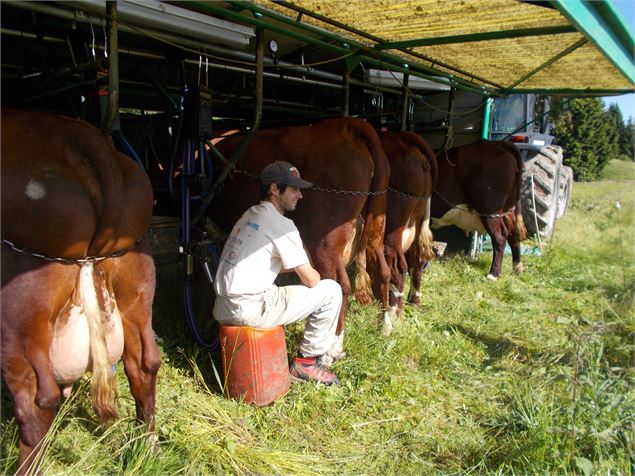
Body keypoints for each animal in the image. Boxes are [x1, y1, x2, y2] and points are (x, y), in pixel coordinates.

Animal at [1, 109, 160, 476]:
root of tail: (74, 134)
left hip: (17, 308)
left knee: (36, 402)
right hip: (137, 281)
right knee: (145, 364)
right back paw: (146, 448)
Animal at [209, 118, 390, 360]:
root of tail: (347, 125)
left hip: (325, 241)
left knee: (340, 284)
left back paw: (332, 348)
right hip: (376, 224)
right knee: (383, 270)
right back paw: (386, 326)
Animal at [382, 130, 438, 334]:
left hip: (391, 228)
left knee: (398, 267)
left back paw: (391, 317)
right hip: (418, 222)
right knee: (417, 261)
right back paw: (414, 301)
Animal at [432, 139, 528, 278]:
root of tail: (497, 144)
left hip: (489, 209)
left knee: (500, 237)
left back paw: (493, 274)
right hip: (507, 209)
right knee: (513, 234)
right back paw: (517, 268)